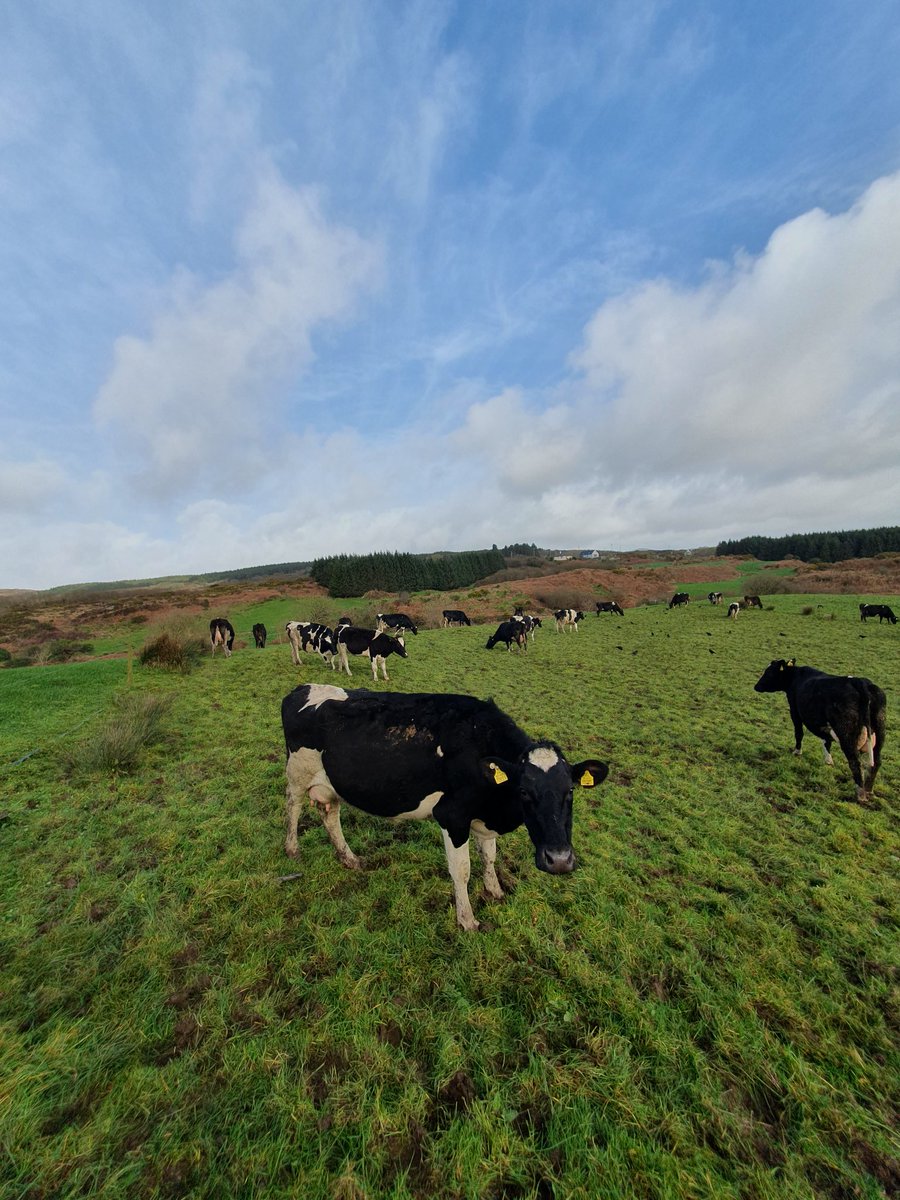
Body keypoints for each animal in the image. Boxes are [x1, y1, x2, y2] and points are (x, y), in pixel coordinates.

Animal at [281, 683, 609, 930]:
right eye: (524, 791)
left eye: (570, 791)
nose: (560, 860)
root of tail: (302, 688)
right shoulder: (452, 816)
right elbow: (461, 870)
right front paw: (467, 921)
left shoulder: (483, 819)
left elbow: (489, 857)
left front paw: (495, 891)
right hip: (297, 772)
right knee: (293, 805)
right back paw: (292, 849)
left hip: (331, 783)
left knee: (330, 814)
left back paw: (350, 859)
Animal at [753, 659, 886, 803]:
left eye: (769, 672)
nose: (756, 686)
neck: (796, 676)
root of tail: (860, 682)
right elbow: (826, 741)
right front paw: (828, 760)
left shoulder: (795, 712)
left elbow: (799, 733)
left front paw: (797, 751)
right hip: (880, 731)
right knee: (876, 762)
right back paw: (869, 789)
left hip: (846, 733)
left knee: (855, 762)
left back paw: (860, 794)